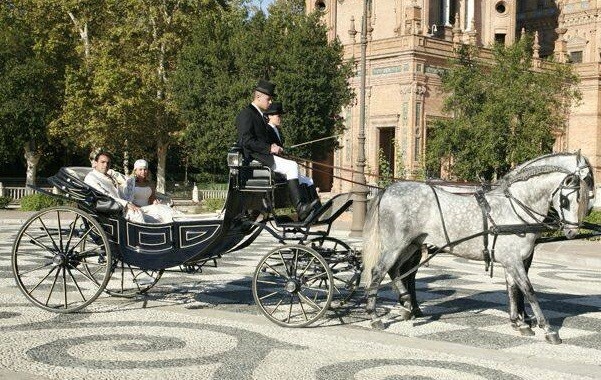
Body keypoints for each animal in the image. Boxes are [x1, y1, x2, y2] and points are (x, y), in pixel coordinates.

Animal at [360, 152, 592, 344]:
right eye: (567, 200)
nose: (573, 231)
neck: (515, 208)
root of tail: (388, 189)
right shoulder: (515, 260)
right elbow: (529, 290)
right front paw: (547, 329)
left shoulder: (511, 261)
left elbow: (513, 289)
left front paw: (520, 323)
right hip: (397, 245)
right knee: (379, 272)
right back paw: (375, 315)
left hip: (411, 245)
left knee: (396, 271)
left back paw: (407, 303)